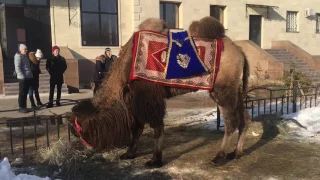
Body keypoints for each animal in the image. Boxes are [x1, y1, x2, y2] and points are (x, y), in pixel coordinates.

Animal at [69, 16, 251, 167]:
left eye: (77, 128)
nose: (83, 148)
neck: (125, 70)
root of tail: (241, 53)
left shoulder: (149, 99)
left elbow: (156, 129)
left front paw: (155, 160)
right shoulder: (136, 102)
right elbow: (137, 129)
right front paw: (129, 153)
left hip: (222, 91)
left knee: (231, 123)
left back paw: (219, 158)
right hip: (236, 91)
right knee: (244, 119)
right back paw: (236, 153)